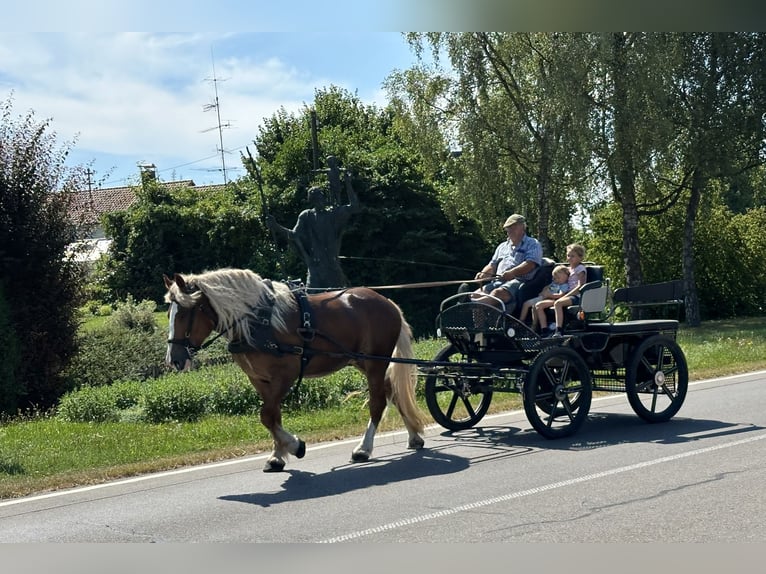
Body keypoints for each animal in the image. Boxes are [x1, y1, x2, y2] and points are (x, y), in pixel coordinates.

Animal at [164, 268, 426, 472]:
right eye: (169, 313)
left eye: (185, 313)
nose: (174, 360)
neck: (258, 321)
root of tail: (387, 302)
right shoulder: (259, 380)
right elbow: (273, 416)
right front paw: (277, 456)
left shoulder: (284, 376)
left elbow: (266, 415)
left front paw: (294, 446)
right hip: (364, 362)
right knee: (392, 391)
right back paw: (414, 437)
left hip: (375, 363)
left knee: (378, 402)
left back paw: (363, 449)